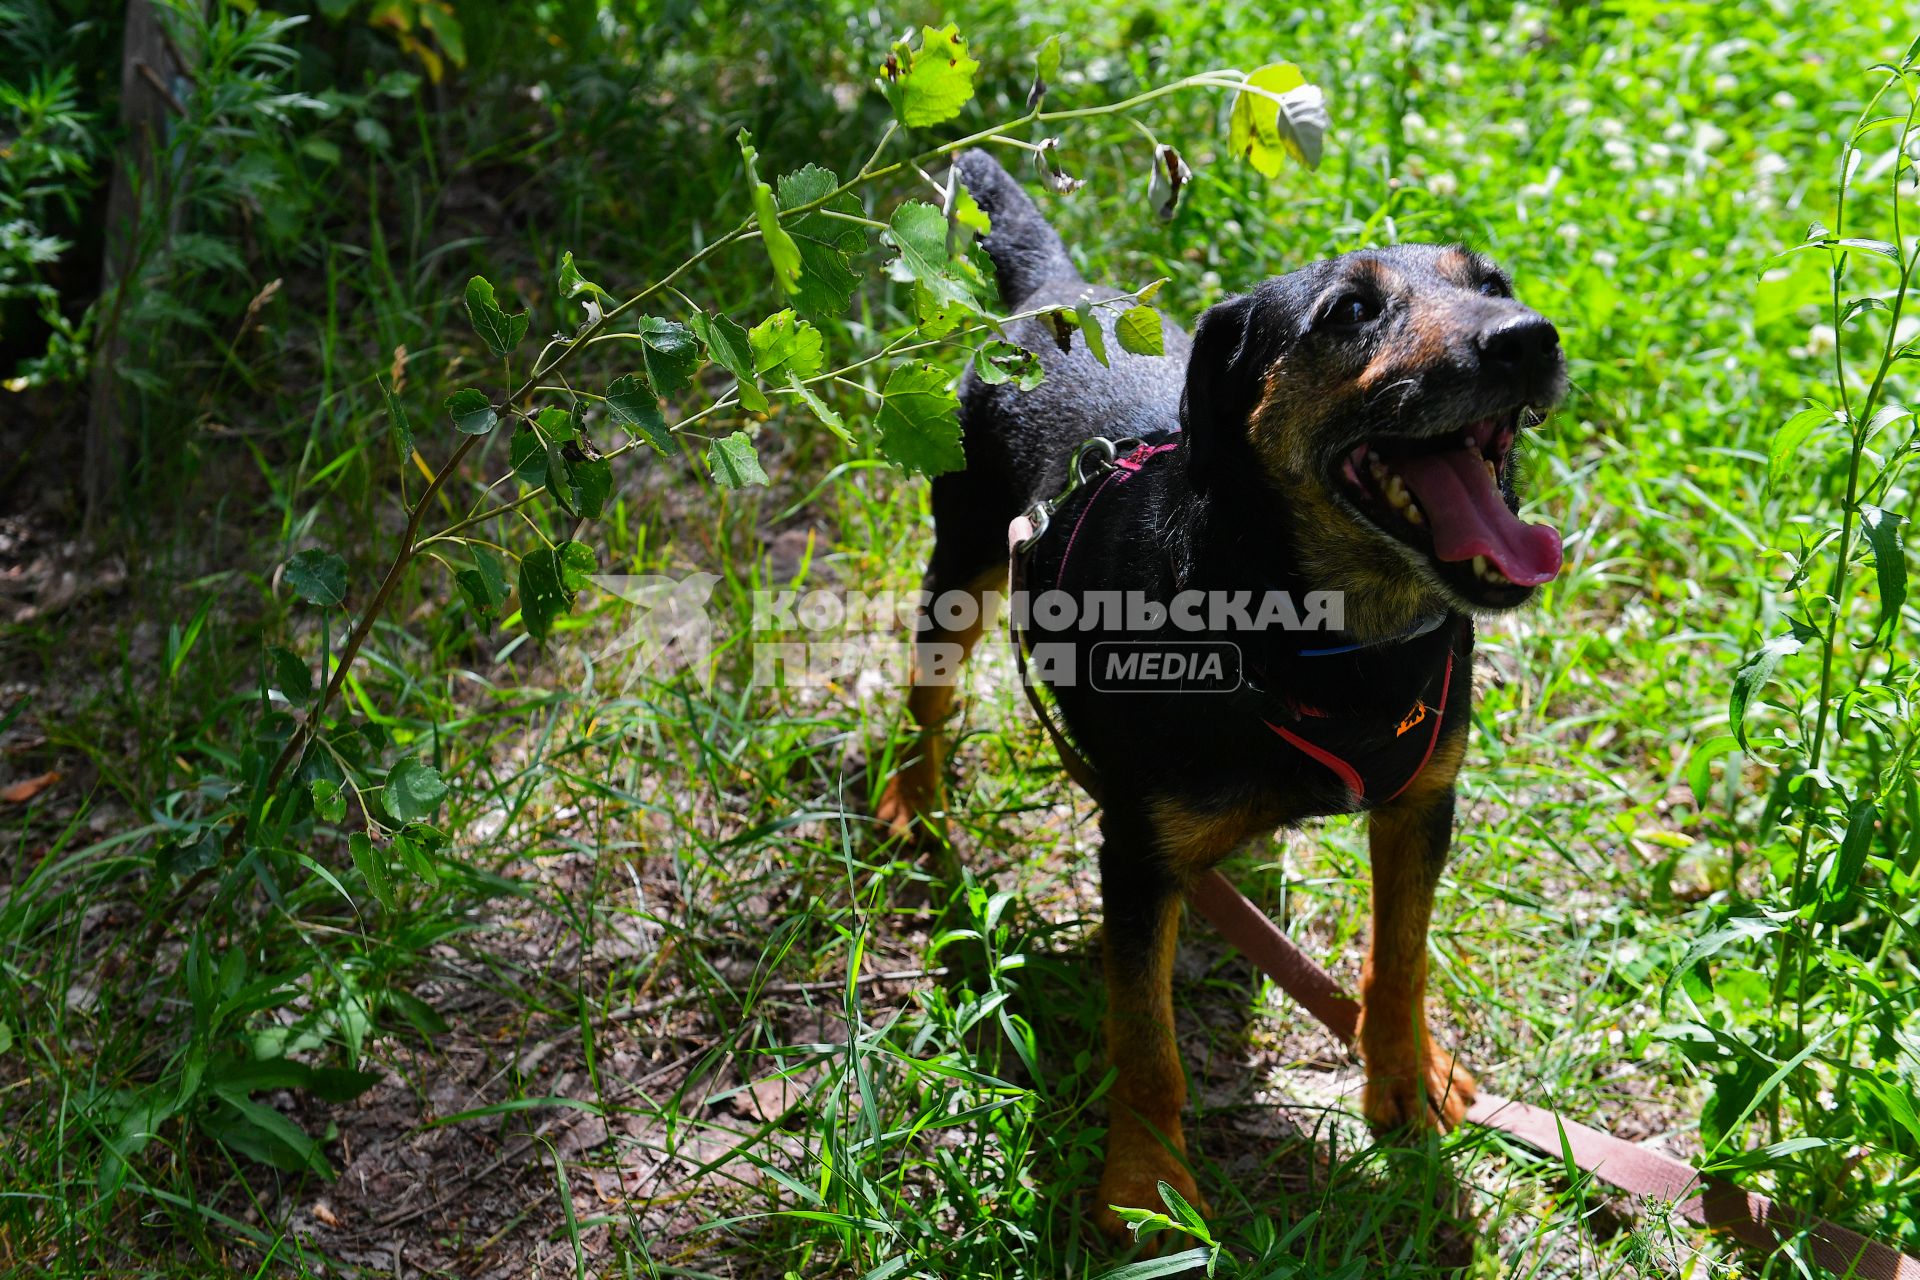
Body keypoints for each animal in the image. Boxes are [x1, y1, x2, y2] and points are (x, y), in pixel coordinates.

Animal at [879, 152, 1566, 1243]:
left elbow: (1401, 957)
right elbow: (1147, 1045)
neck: (1328, 643)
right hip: (965, 555)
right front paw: (1146, 1187)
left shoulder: (1423, 802)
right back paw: (914, 797)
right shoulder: (1136, 853)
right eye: (1348, 311)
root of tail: (1052, 291)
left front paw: (1406, 1076)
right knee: (930, 697)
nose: (1528, 337)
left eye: (1495, 283)